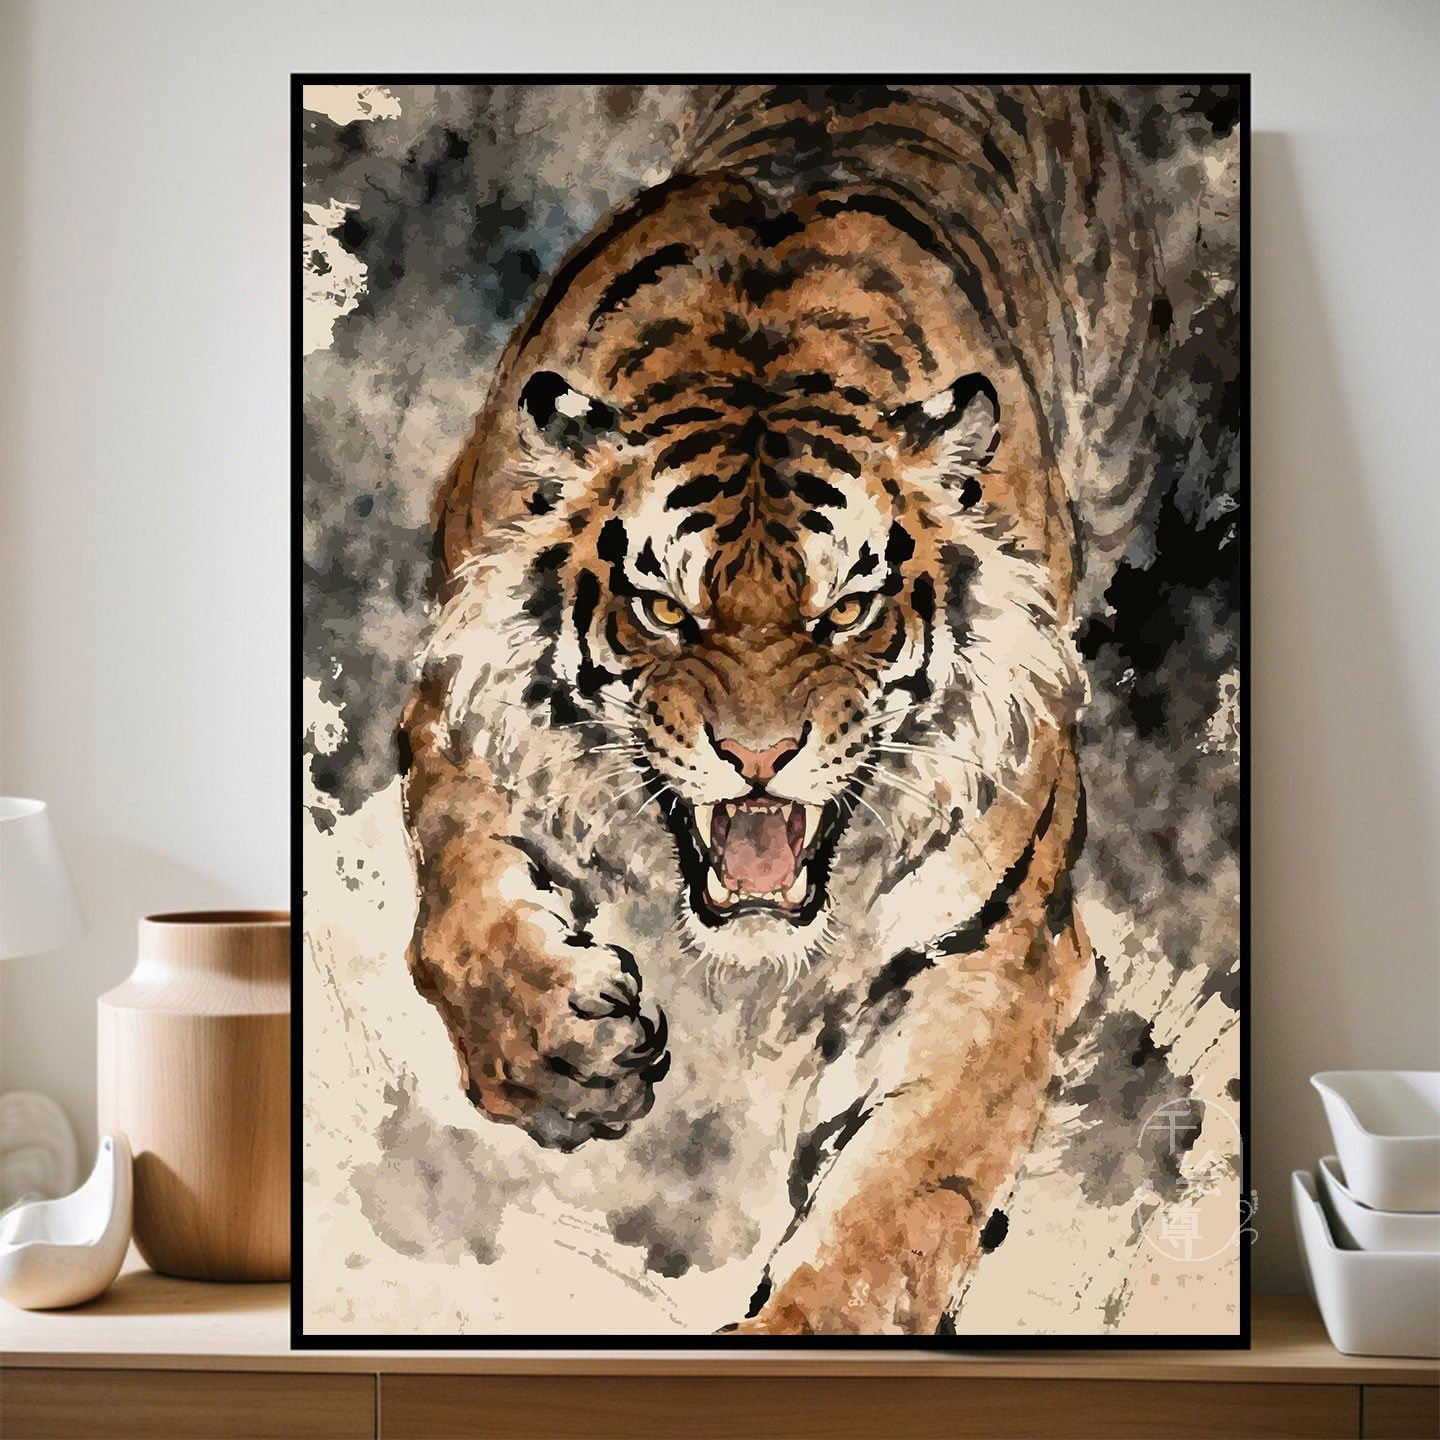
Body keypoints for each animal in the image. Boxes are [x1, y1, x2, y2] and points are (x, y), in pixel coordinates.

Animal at [398, 83, 1166, 1334]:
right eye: (664, 608)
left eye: (847, 608)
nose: (758, 758)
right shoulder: (462, 725)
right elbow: (459, 919)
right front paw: (568, 1053)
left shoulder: (994, 946)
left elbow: (899, 1197)